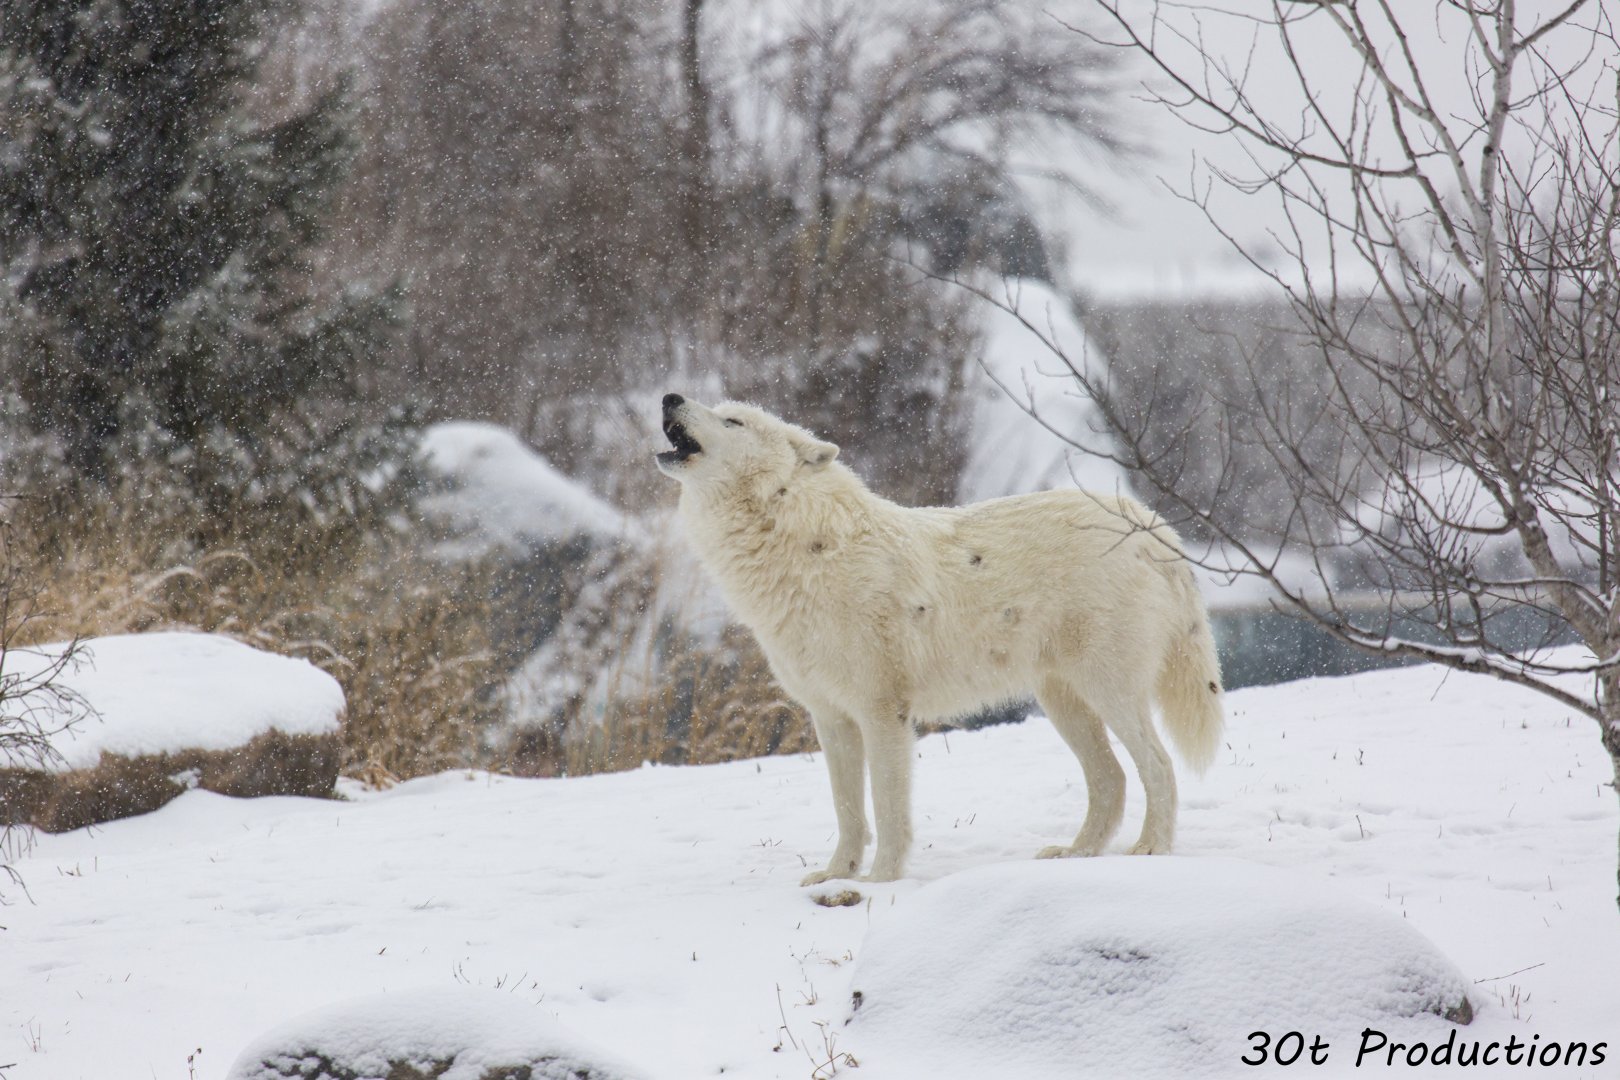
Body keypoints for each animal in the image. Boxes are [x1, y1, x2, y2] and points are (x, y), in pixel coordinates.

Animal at [655, 393, 1224, 884]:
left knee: (1158, 767)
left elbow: (886, 809)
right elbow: (847, 810)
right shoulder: (831, 718)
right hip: (1063, 702)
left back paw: (1149, 849)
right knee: (1111, 779)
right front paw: (836, 876)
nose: (669, 397)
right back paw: (1075, 854)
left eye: (733, 422)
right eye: (720, 410)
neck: (802, 549)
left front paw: (879, 883)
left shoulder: (883, 713)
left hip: (1109, 692)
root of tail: (1152, 523)